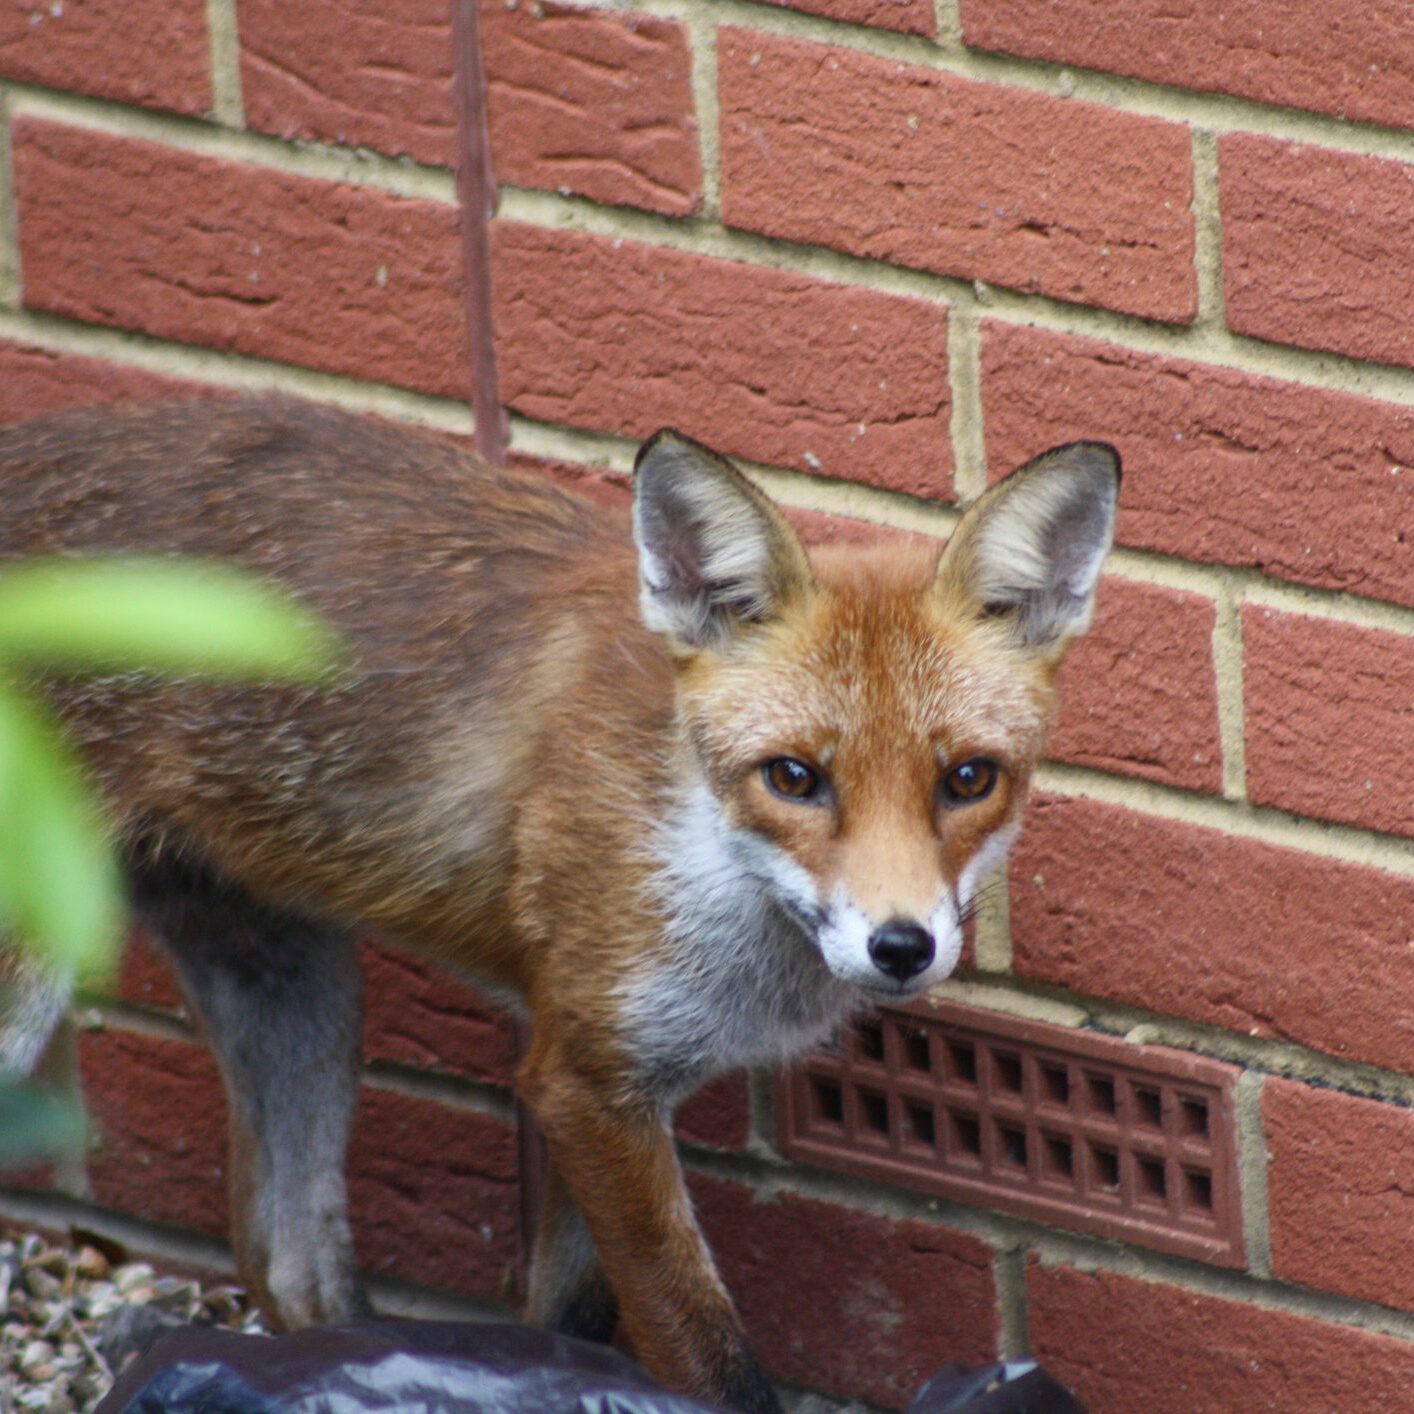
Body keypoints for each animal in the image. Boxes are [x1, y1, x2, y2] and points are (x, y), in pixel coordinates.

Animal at [0, 397, 1119, 1412]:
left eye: (968, 780)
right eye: (794, 778)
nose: (900, 946)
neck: (700, 847)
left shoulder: (614, 1081)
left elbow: (571, 1319)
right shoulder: (583, 1080)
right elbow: (702, 1348)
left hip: (290, 980)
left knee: (286, 1256)